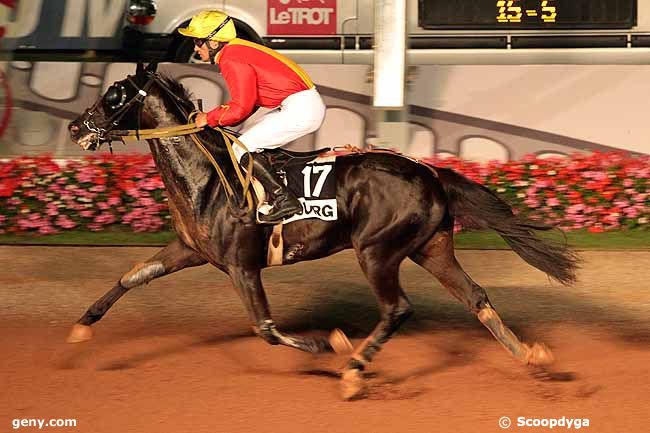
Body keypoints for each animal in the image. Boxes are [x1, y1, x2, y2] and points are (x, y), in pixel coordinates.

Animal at [67, 63, 576, 398]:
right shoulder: (189, 250)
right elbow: (132, 276)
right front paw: (81, 327)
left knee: (397, 308)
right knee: (475, 297)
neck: (208, 177)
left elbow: (265, 328)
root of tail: (430, 172)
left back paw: (352, 369)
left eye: (114, 96)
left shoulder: (242, 265)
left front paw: (326, 344)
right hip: (431, 248)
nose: (75, 127)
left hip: (377, 251)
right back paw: (531, 359)